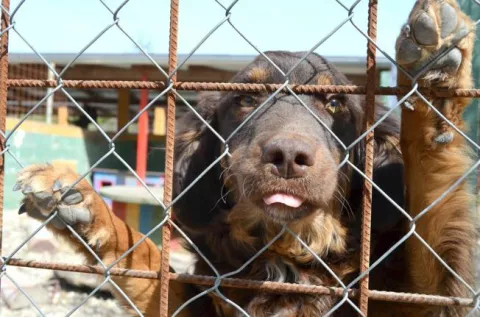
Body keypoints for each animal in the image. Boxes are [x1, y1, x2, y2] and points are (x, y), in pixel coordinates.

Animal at [13, 1, 478, 314]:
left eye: (334, 103)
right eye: (246, 100)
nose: (287, 156)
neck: (286, 255)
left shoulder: (429, 292)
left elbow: (432, 196)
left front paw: (436, 73)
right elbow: (145, 255)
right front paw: (84, 206)